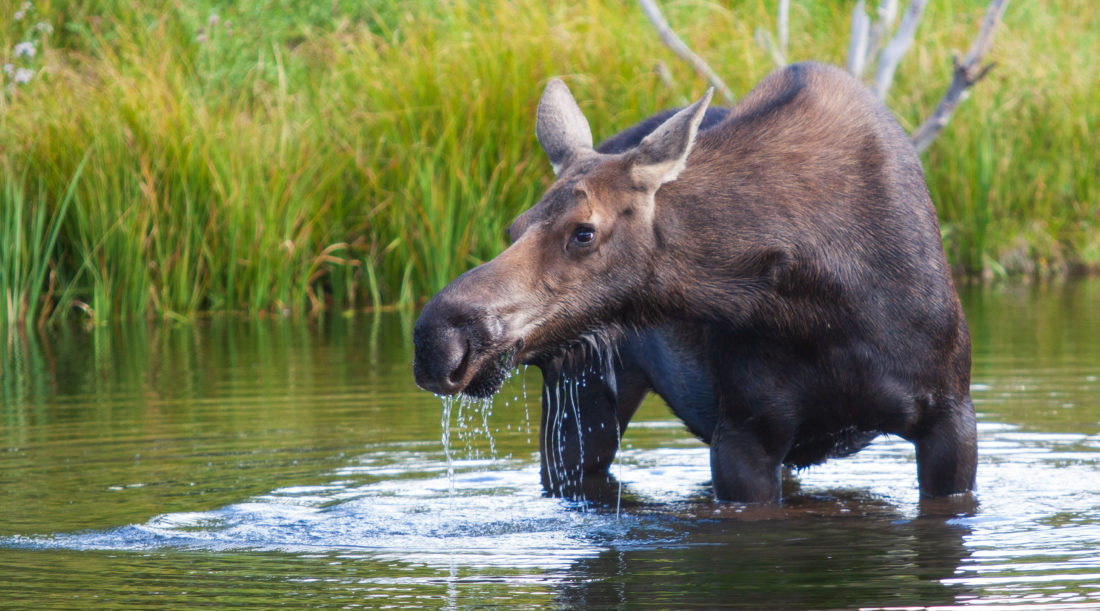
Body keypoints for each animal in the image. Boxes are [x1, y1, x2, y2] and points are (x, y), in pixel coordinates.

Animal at [413, 62, 981, 504]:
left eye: (584, 231)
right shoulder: (744, 434)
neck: (820, 302)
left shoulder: (950, 417)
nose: (437, 338)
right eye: (514, 228)